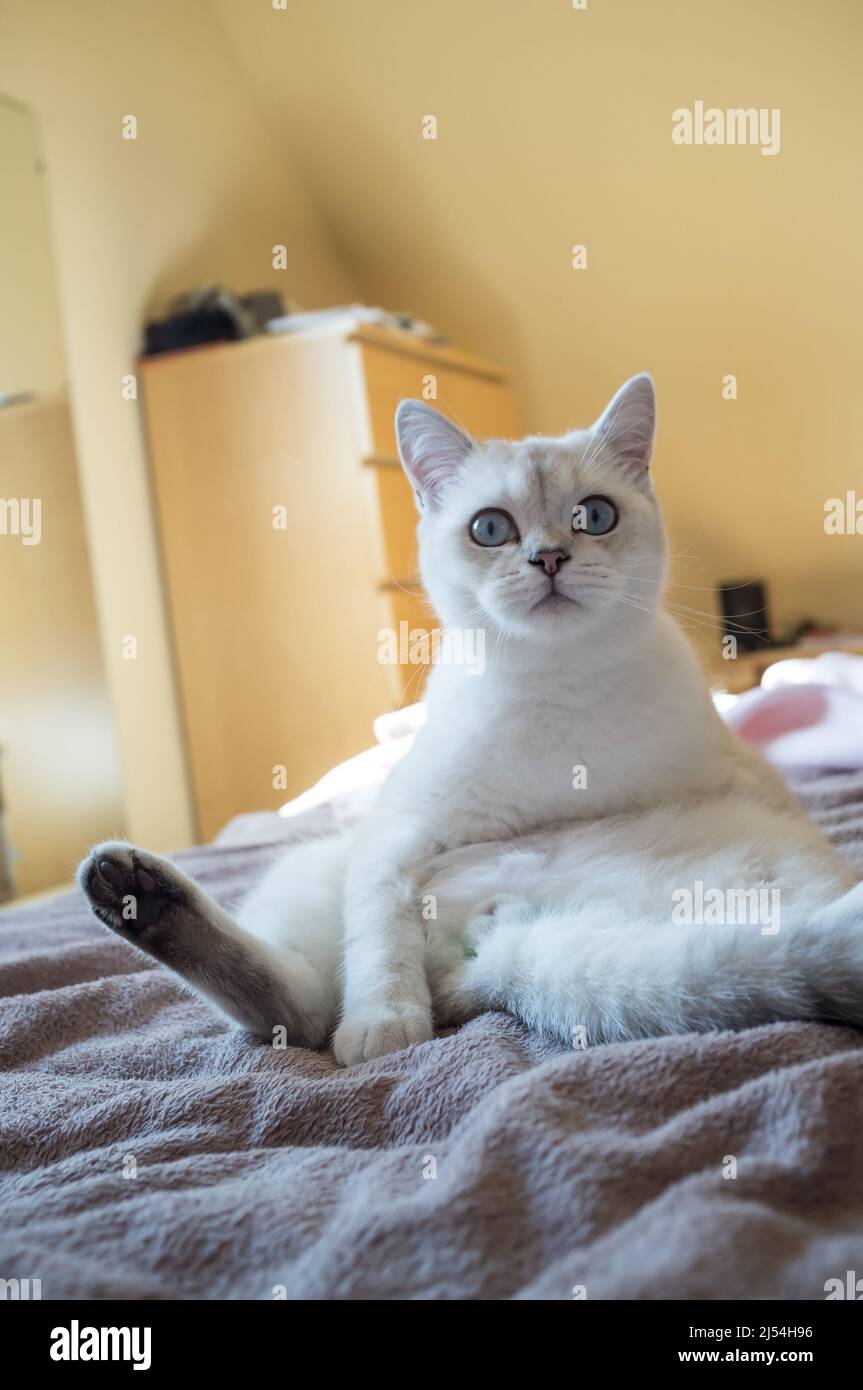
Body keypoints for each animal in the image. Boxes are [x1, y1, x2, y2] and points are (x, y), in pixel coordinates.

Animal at [77, 375, 856, 1056]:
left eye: (594, 516)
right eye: (490, 529)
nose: (548, 557)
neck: (559, 691)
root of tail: (480, 964)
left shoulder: (747, 782)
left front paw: (382, 1031)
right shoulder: (395, 840)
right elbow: (380, 941)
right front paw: (384, 1028)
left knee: (303, 1013)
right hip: (314, 868)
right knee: (305, 1011)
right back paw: (131, 891)